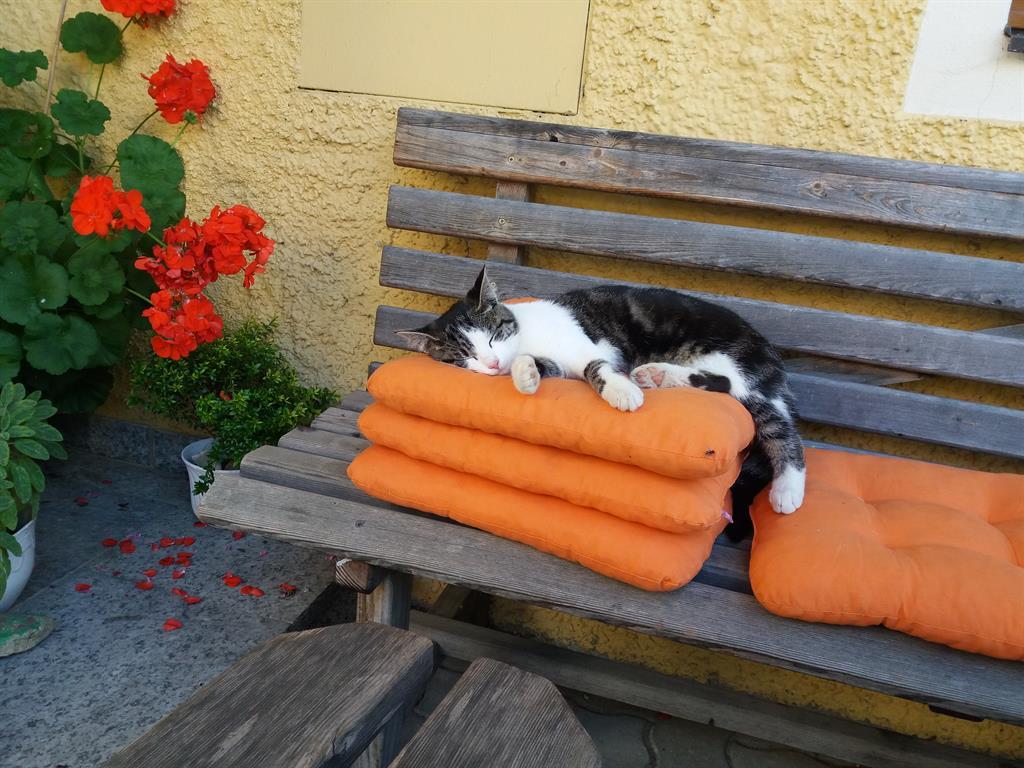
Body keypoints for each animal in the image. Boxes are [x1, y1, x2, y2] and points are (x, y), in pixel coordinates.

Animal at [397, 267, 805, 536]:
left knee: (775, 422)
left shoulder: (587, 346)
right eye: (464, 357)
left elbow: (597, 366)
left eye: (495, 336)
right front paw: (526, 375)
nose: (494, 363)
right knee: (723, 386)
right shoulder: (558, 366)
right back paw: (657, 376)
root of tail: (767, 349)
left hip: (739, 368)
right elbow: (544, 366)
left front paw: (620, 391)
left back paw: (787, 490)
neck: (525, 334)